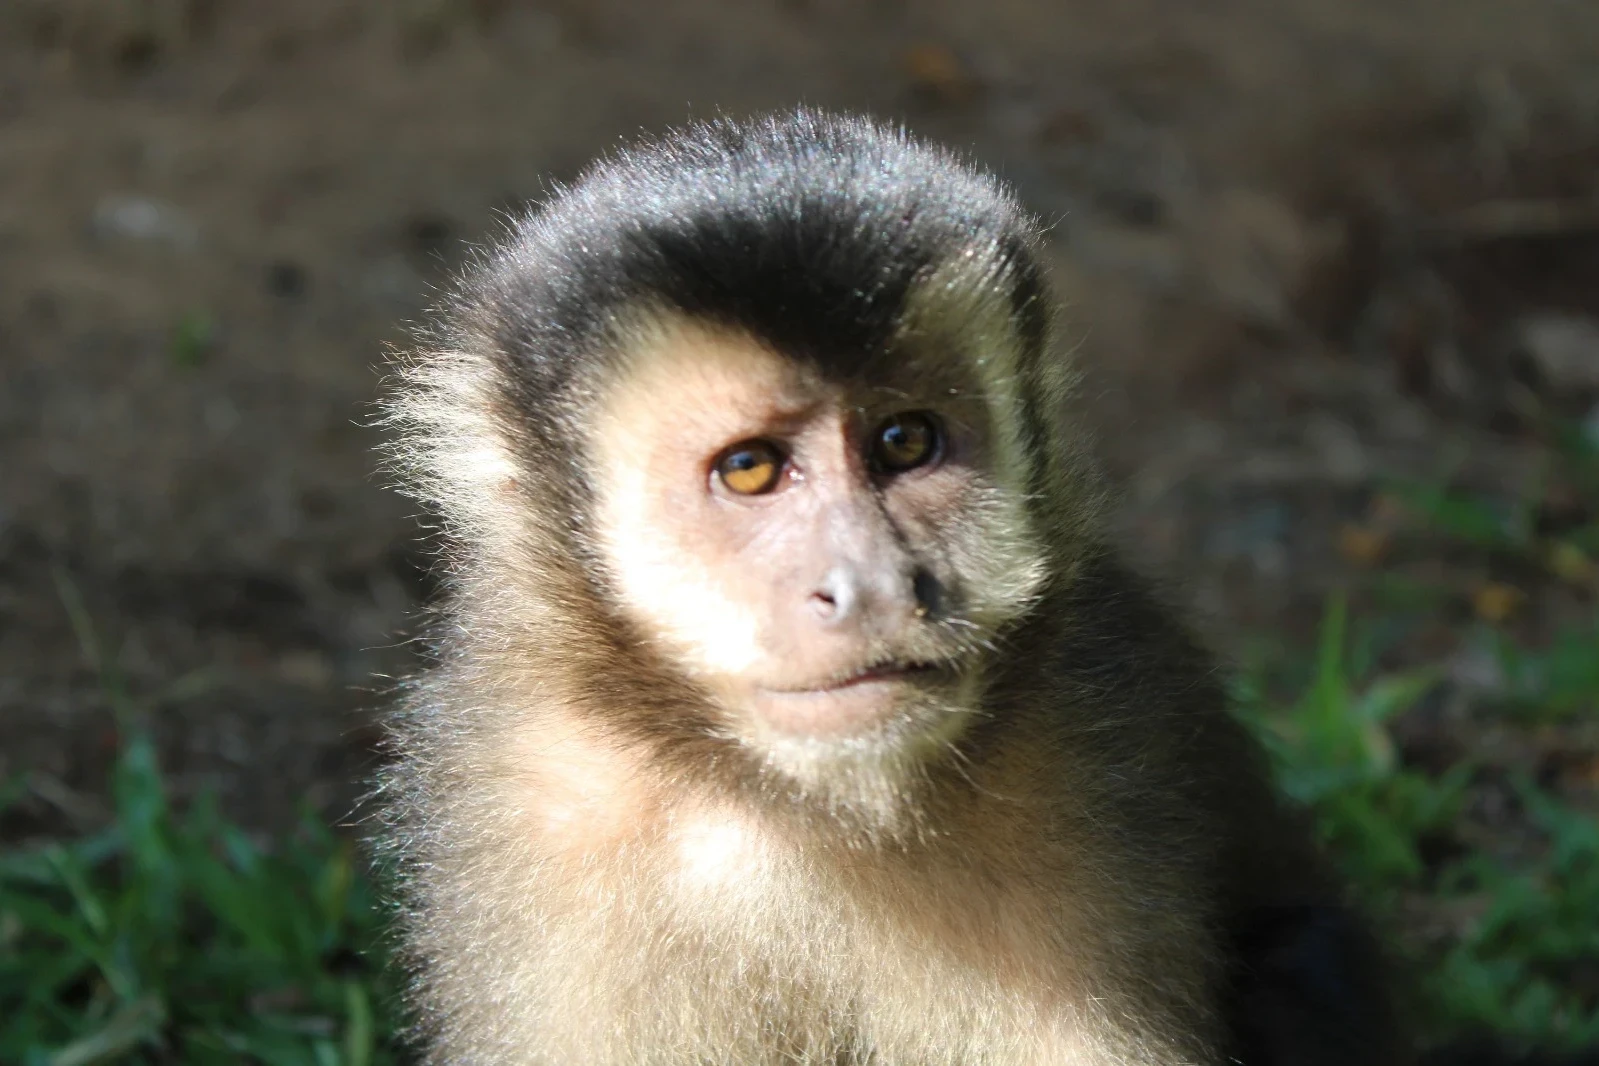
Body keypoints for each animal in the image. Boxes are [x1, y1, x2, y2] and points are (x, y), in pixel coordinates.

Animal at [374, 109, 1405, 1065]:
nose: (867, 586)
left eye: (904, 442)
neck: (790, 800)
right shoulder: (540, 802)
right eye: (750, 469)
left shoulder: (1090, 743)